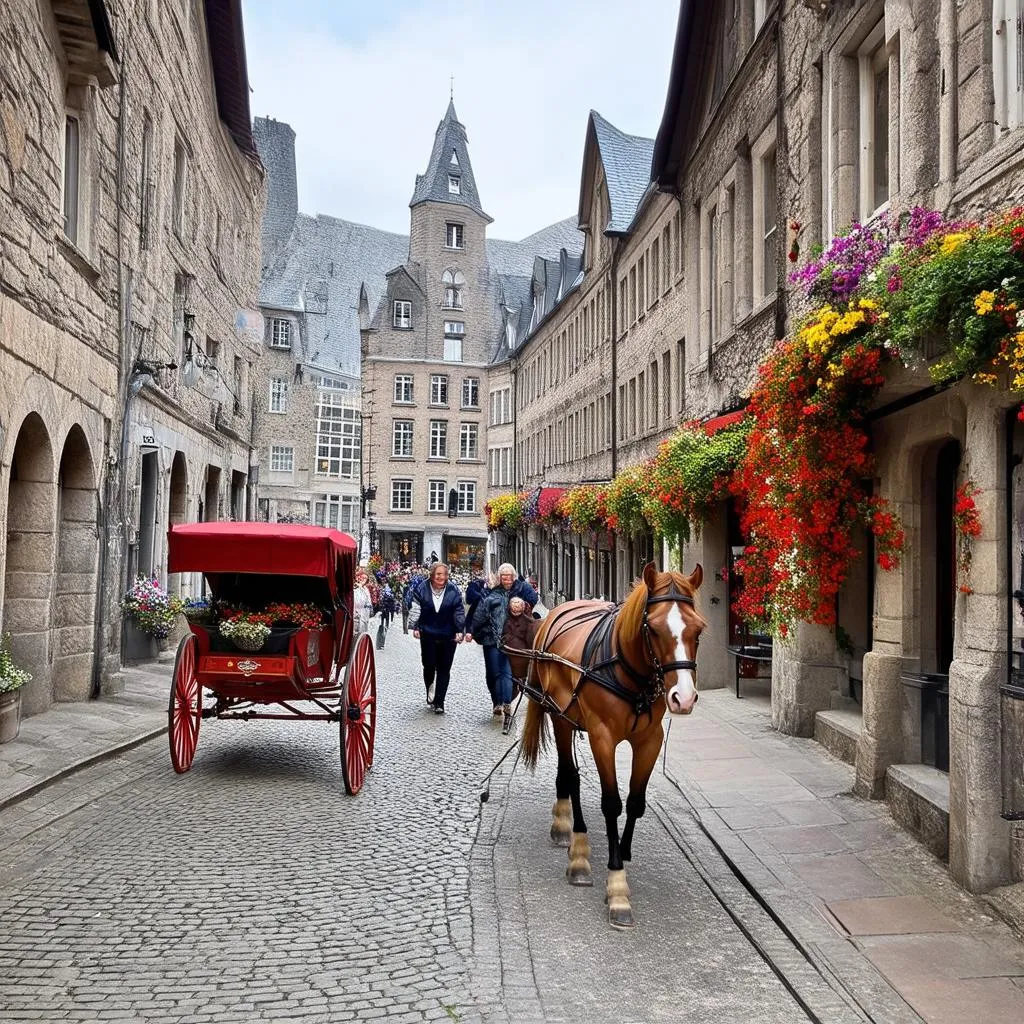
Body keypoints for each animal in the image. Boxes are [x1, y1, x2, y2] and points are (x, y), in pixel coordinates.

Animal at [520, 561, 704, 929]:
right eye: (654, 629)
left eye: (699, 630)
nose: (684, 697)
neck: (633, 674)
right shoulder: (602, 737)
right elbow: (611, 804)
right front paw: (617, 884)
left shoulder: (650, 740)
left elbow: (635, 802)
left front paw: (624, 849)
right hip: (561, 717)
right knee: (569, 776)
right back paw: (576, 846)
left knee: (571, 777)